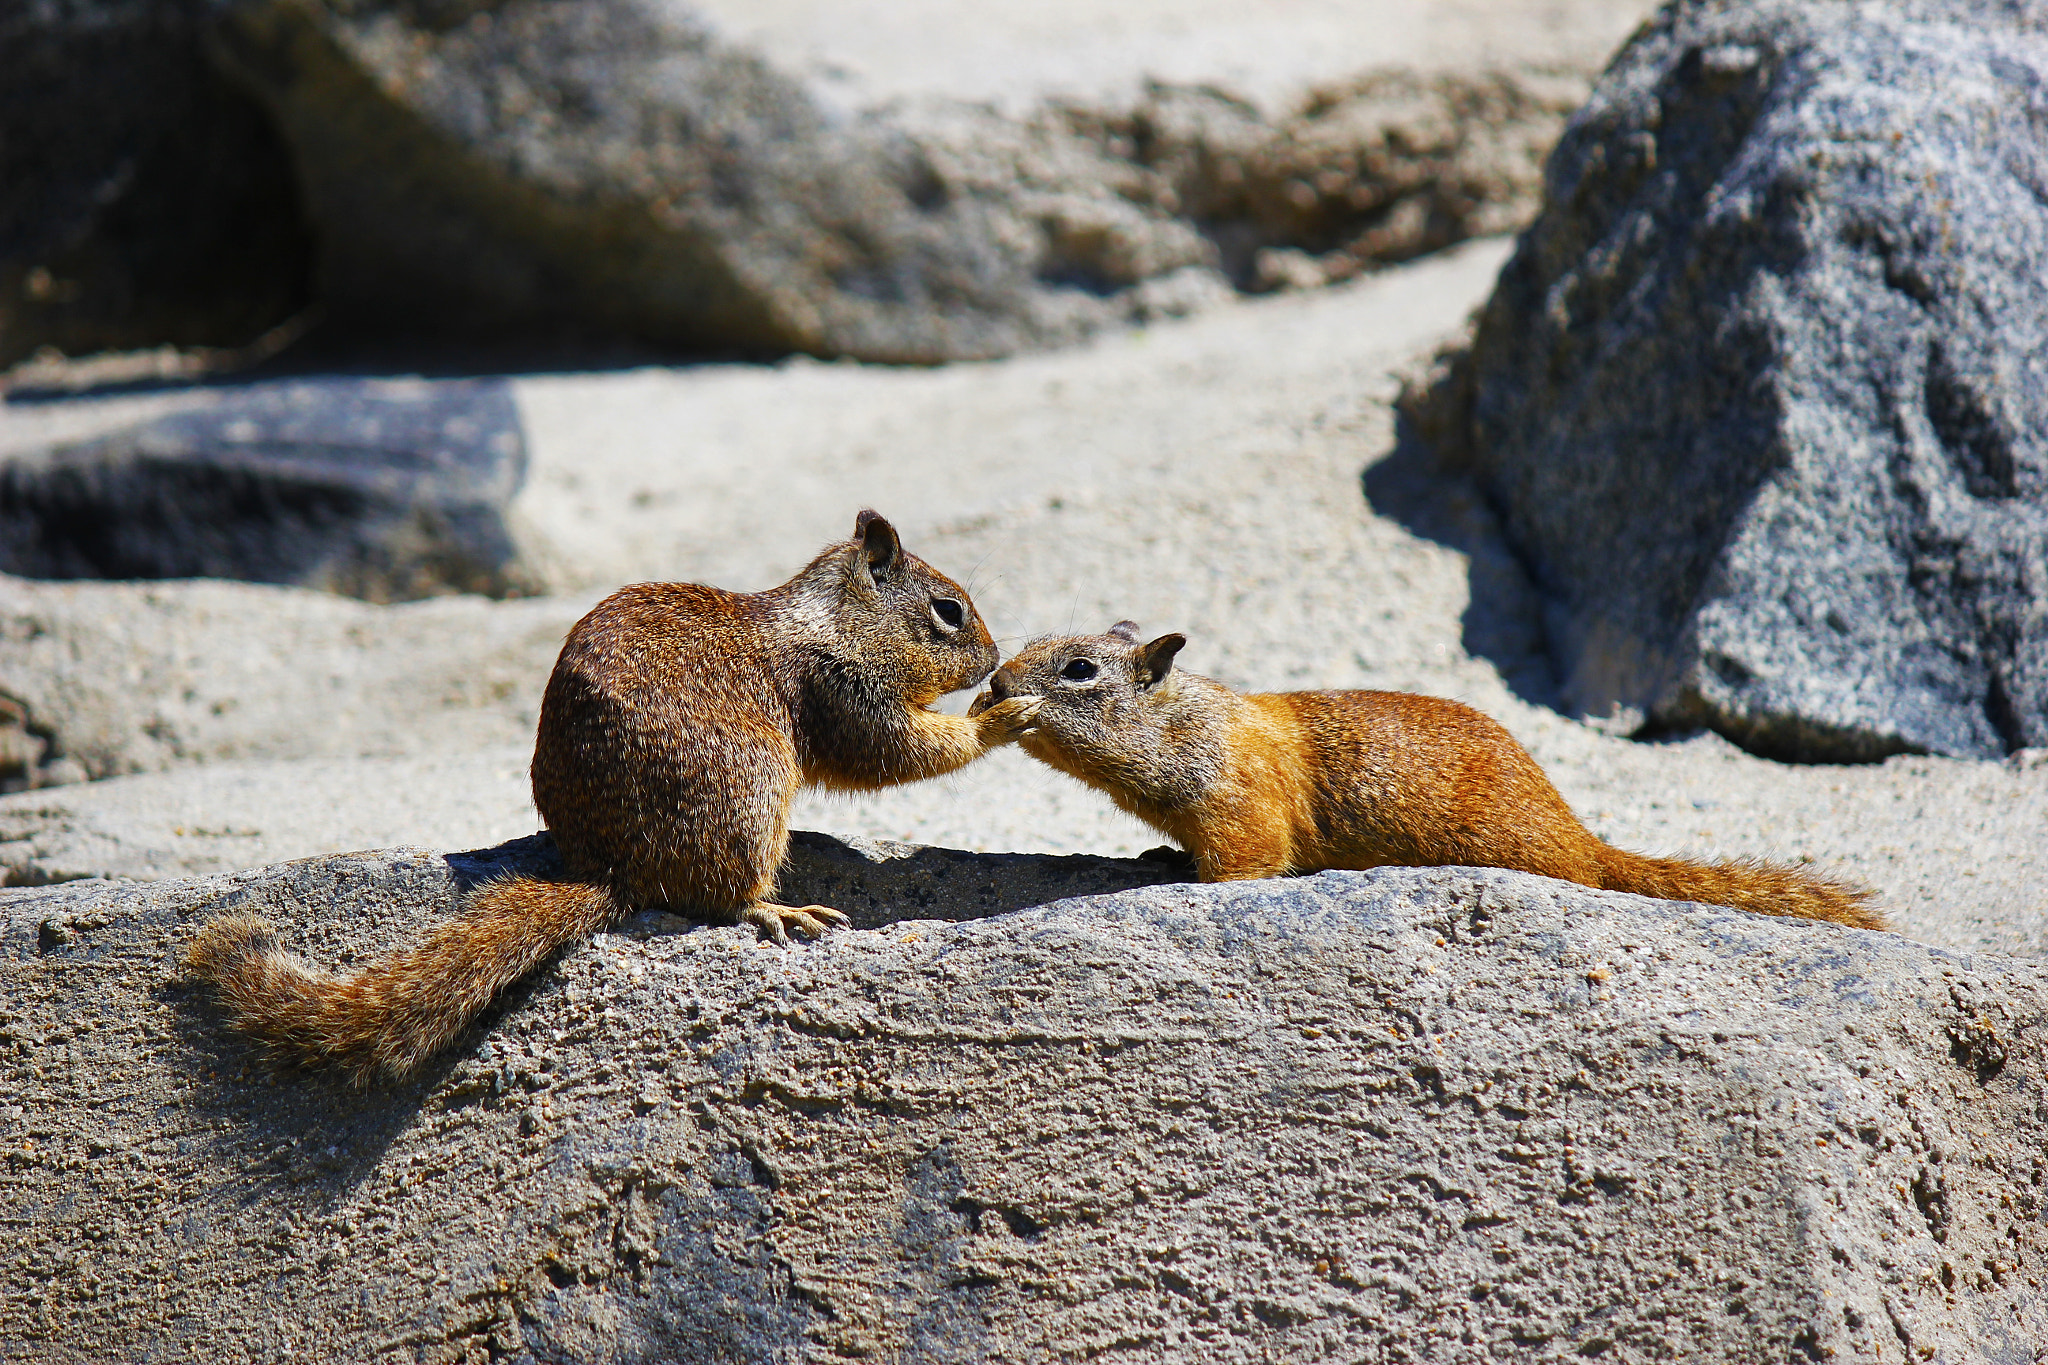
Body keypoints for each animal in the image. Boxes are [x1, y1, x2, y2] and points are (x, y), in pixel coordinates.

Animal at [186, 511, 1043, 1085]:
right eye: (949, 610)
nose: (995, 658)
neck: (830, 620)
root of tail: (612, 871)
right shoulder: (840, 691)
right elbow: (891, 750)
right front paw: (997, 716)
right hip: (751, 788)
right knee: (714, 898)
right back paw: (777, 909)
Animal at [971, 622, 1882, 930]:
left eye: (1079, 669)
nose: (996, 684)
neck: (1179, 722)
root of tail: (1586, 842)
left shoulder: (1239, 808)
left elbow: (1244, 863)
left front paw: (1182, 881)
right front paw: (1159, 857)